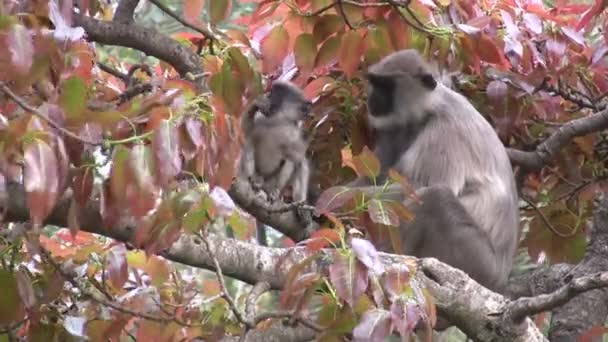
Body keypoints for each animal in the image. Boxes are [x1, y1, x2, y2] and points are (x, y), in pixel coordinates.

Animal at [350, 49, 520, 304]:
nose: (372, 98)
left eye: (386, 85)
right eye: (374, 82)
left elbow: (418, 187)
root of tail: (501, 280)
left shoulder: (445, 132)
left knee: (435, 197)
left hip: (478, 262)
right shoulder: (395, 130)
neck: (428, 109)